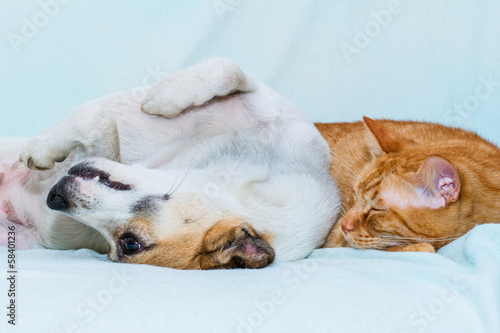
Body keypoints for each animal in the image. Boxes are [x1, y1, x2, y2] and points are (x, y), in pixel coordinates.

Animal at [0, 57, 340, 268]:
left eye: (129, 244)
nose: (54, 197)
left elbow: (100, 122)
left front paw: (44, 148)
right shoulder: (263, 96)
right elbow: (228, 67)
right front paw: (168, 95)